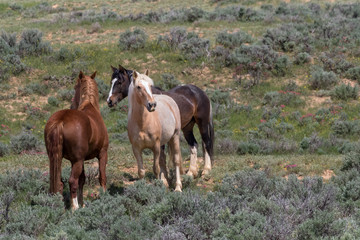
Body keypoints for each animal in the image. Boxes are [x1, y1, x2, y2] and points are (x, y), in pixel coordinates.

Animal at [44, 71, 108, 210]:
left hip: (57, 158)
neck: (90, 105)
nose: (72, 104)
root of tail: (61, 120)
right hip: (77, 161)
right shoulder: (102, 154)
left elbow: (82, 180)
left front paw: (82, 203)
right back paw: (75, 208)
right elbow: (102, 177)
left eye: (74, 87)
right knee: (72, 181)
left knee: (58, 182)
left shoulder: (80, 160)